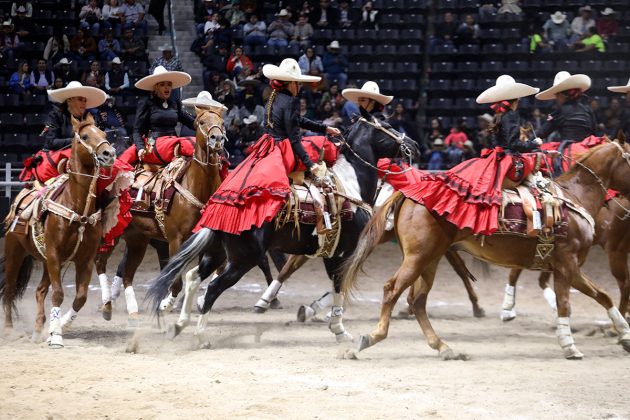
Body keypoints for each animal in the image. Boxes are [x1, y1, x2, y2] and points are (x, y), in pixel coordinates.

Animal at [0, 114, 117, 348]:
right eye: (85, 136)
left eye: (103, 133)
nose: (109, 153)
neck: (77, 208)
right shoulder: (54, 255)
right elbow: (58, 294)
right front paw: (56, 337)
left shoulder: (84, 260)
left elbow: (79, 297)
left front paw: (58, 327)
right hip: (15, 254)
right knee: (9, 290)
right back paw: (8, 329)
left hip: (47, 262)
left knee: (39, 291)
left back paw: (38, 329)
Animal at [96, 108, 230, 322]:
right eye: (201, 122)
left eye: (222, 122)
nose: (216, 138)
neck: (196, 186)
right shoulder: (175, 240)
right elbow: (175, 278)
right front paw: (167, 303)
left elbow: (210, 270)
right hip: (113, 234)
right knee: (100, 264)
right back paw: (107, 304)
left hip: (137, 240)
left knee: (127, 274)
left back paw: (132, 308)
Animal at [146, 117, 422, 342]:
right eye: (387, 126)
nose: (415, 144)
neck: (349, 187)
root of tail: (219, 206)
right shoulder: (342, 253)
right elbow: (338, 286)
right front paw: (339, 329)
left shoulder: (327, 252)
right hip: (242, 259)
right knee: (213, 287)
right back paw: (200, 336)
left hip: (217, 253)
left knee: (193, 277)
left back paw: (179, 325)